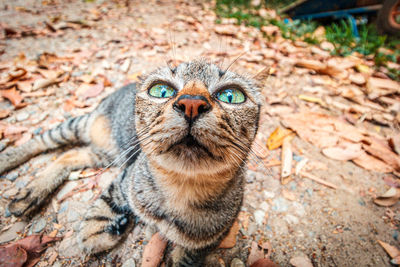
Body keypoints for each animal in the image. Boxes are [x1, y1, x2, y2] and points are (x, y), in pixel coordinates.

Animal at [0, 59, 262, 266]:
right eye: (161, 91)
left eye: (231, 96)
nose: (191, 103)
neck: (180, 190)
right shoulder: (127, 175)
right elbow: (108, 201)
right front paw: (97, 229)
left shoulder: (212, 238)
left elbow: (188, 256)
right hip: (83, 132)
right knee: (42, 140)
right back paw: (21, 179)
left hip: (110, 154)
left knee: (69, 155)